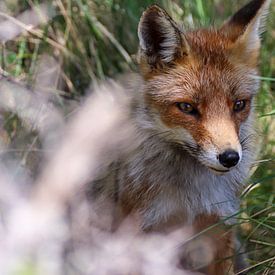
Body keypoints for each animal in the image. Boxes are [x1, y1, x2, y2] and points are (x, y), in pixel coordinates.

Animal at [90, 1, 272, 274]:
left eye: (239, 104)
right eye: (187, 107)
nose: (230, 158)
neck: (190, 199)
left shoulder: (219, 227)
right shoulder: (139, 231)